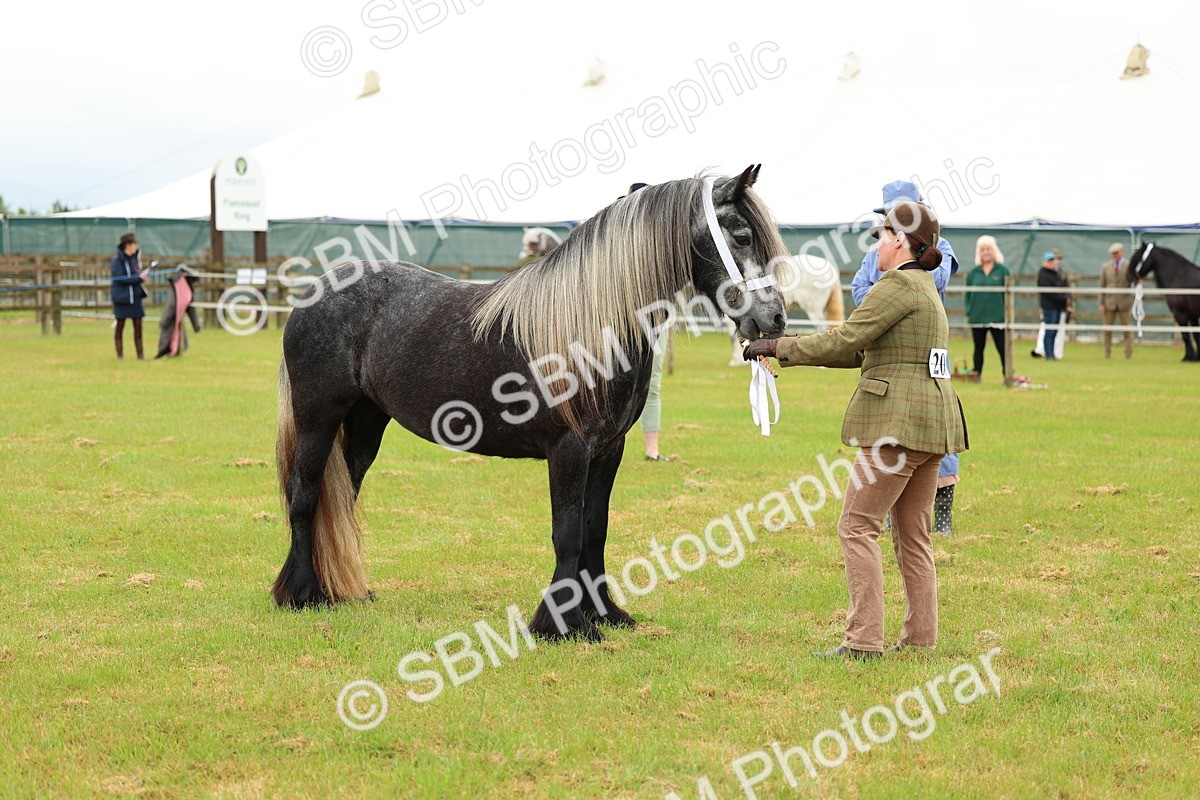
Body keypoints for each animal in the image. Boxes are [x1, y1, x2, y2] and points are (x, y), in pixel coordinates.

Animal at [272, 166, 789, 641]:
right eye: (741, 236)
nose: (776, 318)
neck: (591, 322)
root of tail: (315, 291)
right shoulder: (569, 449)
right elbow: (568, 534)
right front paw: (562, 624)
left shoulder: (609, 450)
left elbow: (594, 530)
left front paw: (605, 613)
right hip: (318, 419)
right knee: (304, 495)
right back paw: (302, 594)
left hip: (365, 424)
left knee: (341, 498)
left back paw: (341, 589)